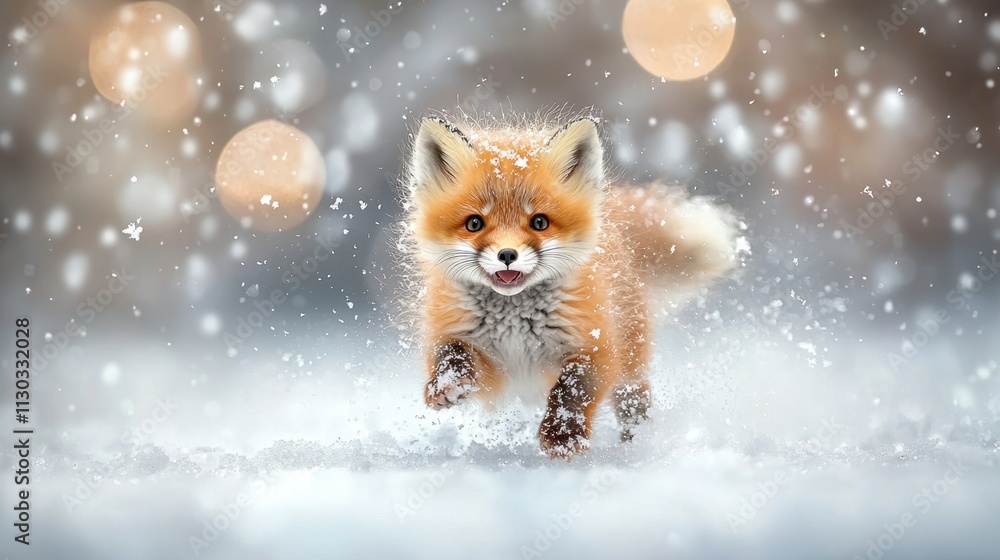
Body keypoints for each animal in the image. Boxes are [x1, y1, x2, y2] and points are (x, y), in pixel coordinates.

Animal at [401, 114, 741, 459]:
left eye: (539, 222)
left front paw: (563, 436)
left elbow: (571, 391)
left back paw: (636, 446)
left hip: (630, 366)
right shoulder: (476, 354)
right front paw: (445, 384)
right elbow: (452, 355)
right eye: (474, 223)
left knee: (635, 402)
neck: (514, 324)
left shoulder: (595, 347)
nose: (507, 255)